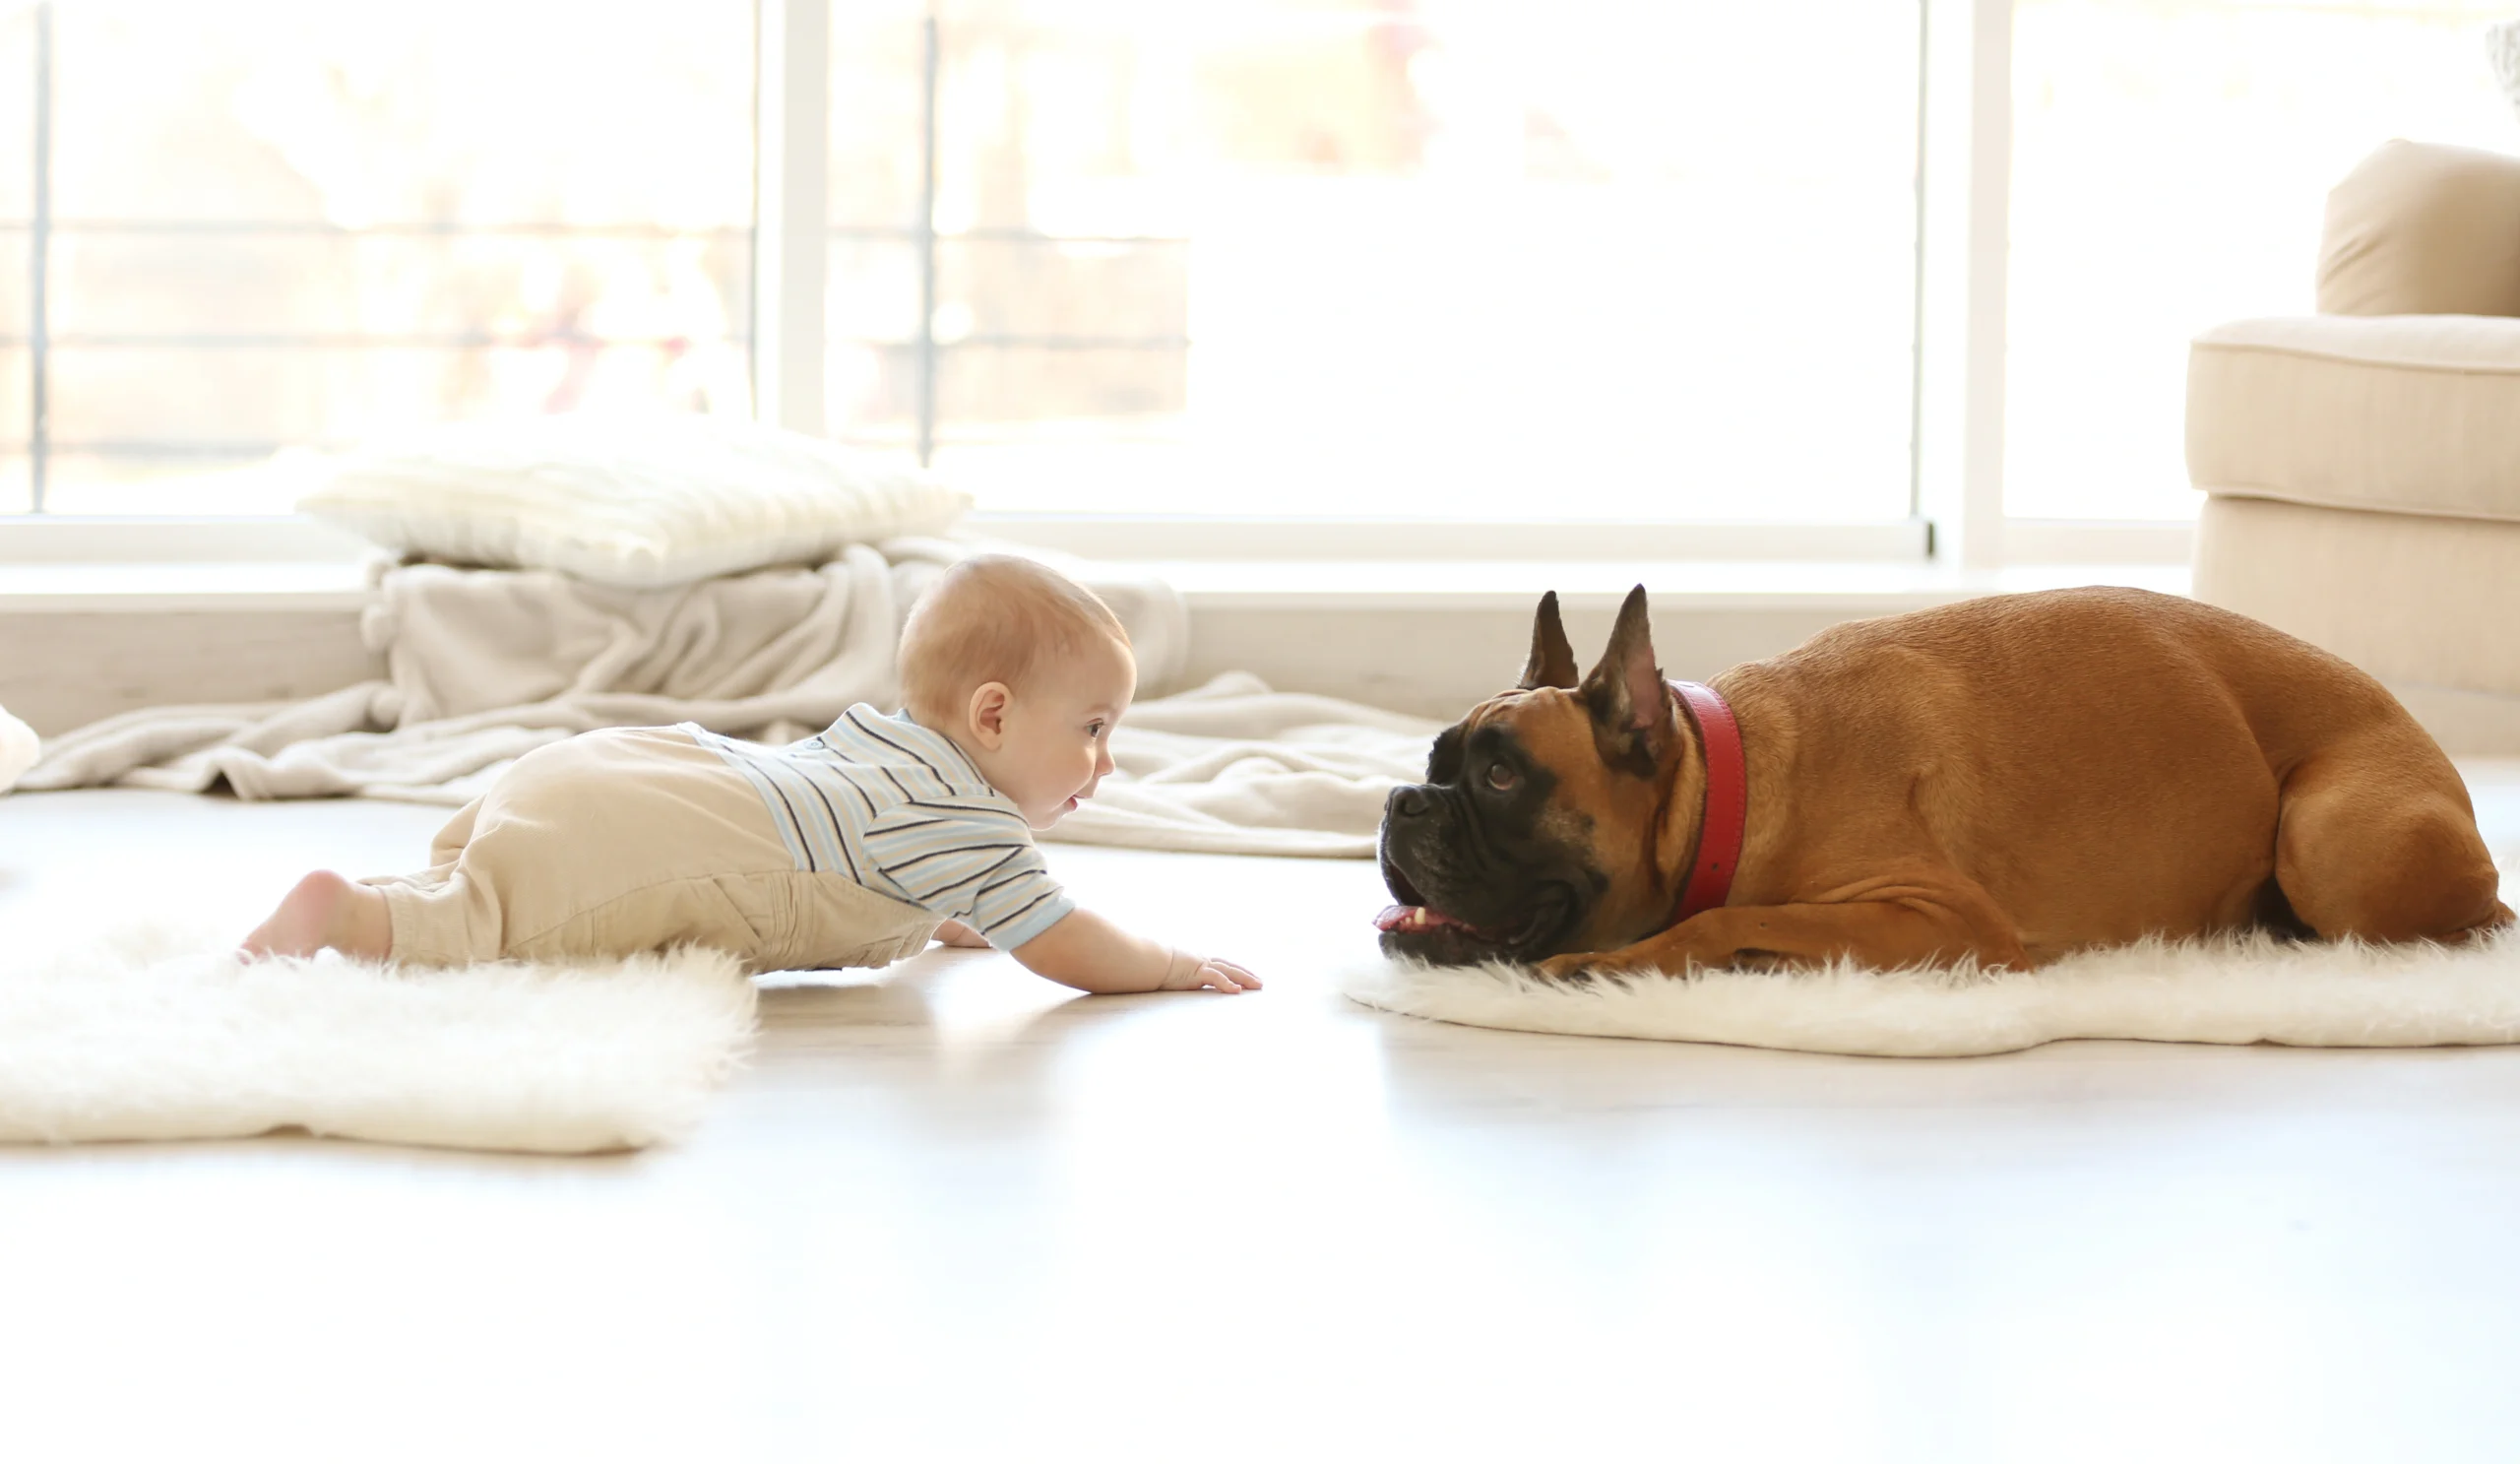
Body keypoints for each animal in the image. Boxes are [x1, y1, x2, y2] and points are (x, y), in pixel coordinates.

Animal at [1391, 577, 2509, 978]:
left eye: (1502, 776)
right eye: (1436, 761)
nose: (1402, 804)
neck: (1728, 786)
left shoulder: (1939, 915)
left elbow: (1727, 917)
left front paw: (1624, 960)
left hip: (2328, 839)